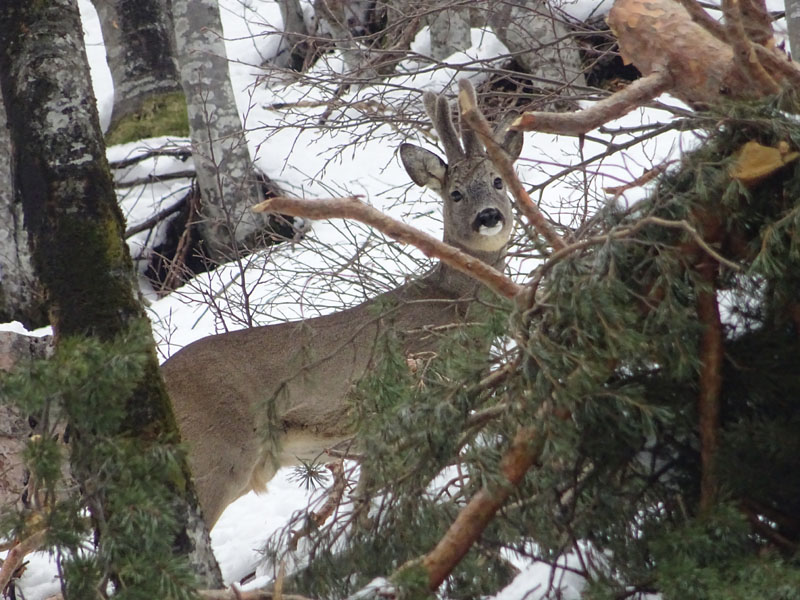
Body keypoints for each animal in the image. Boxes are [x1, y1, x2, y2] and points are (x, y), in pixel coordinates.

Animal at [162, 79, 524, 524]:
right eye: (454, 193)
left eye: (498, 181)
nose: (489, 217)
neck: (453, 305)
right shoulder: (404, 403)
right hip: (215, 454)